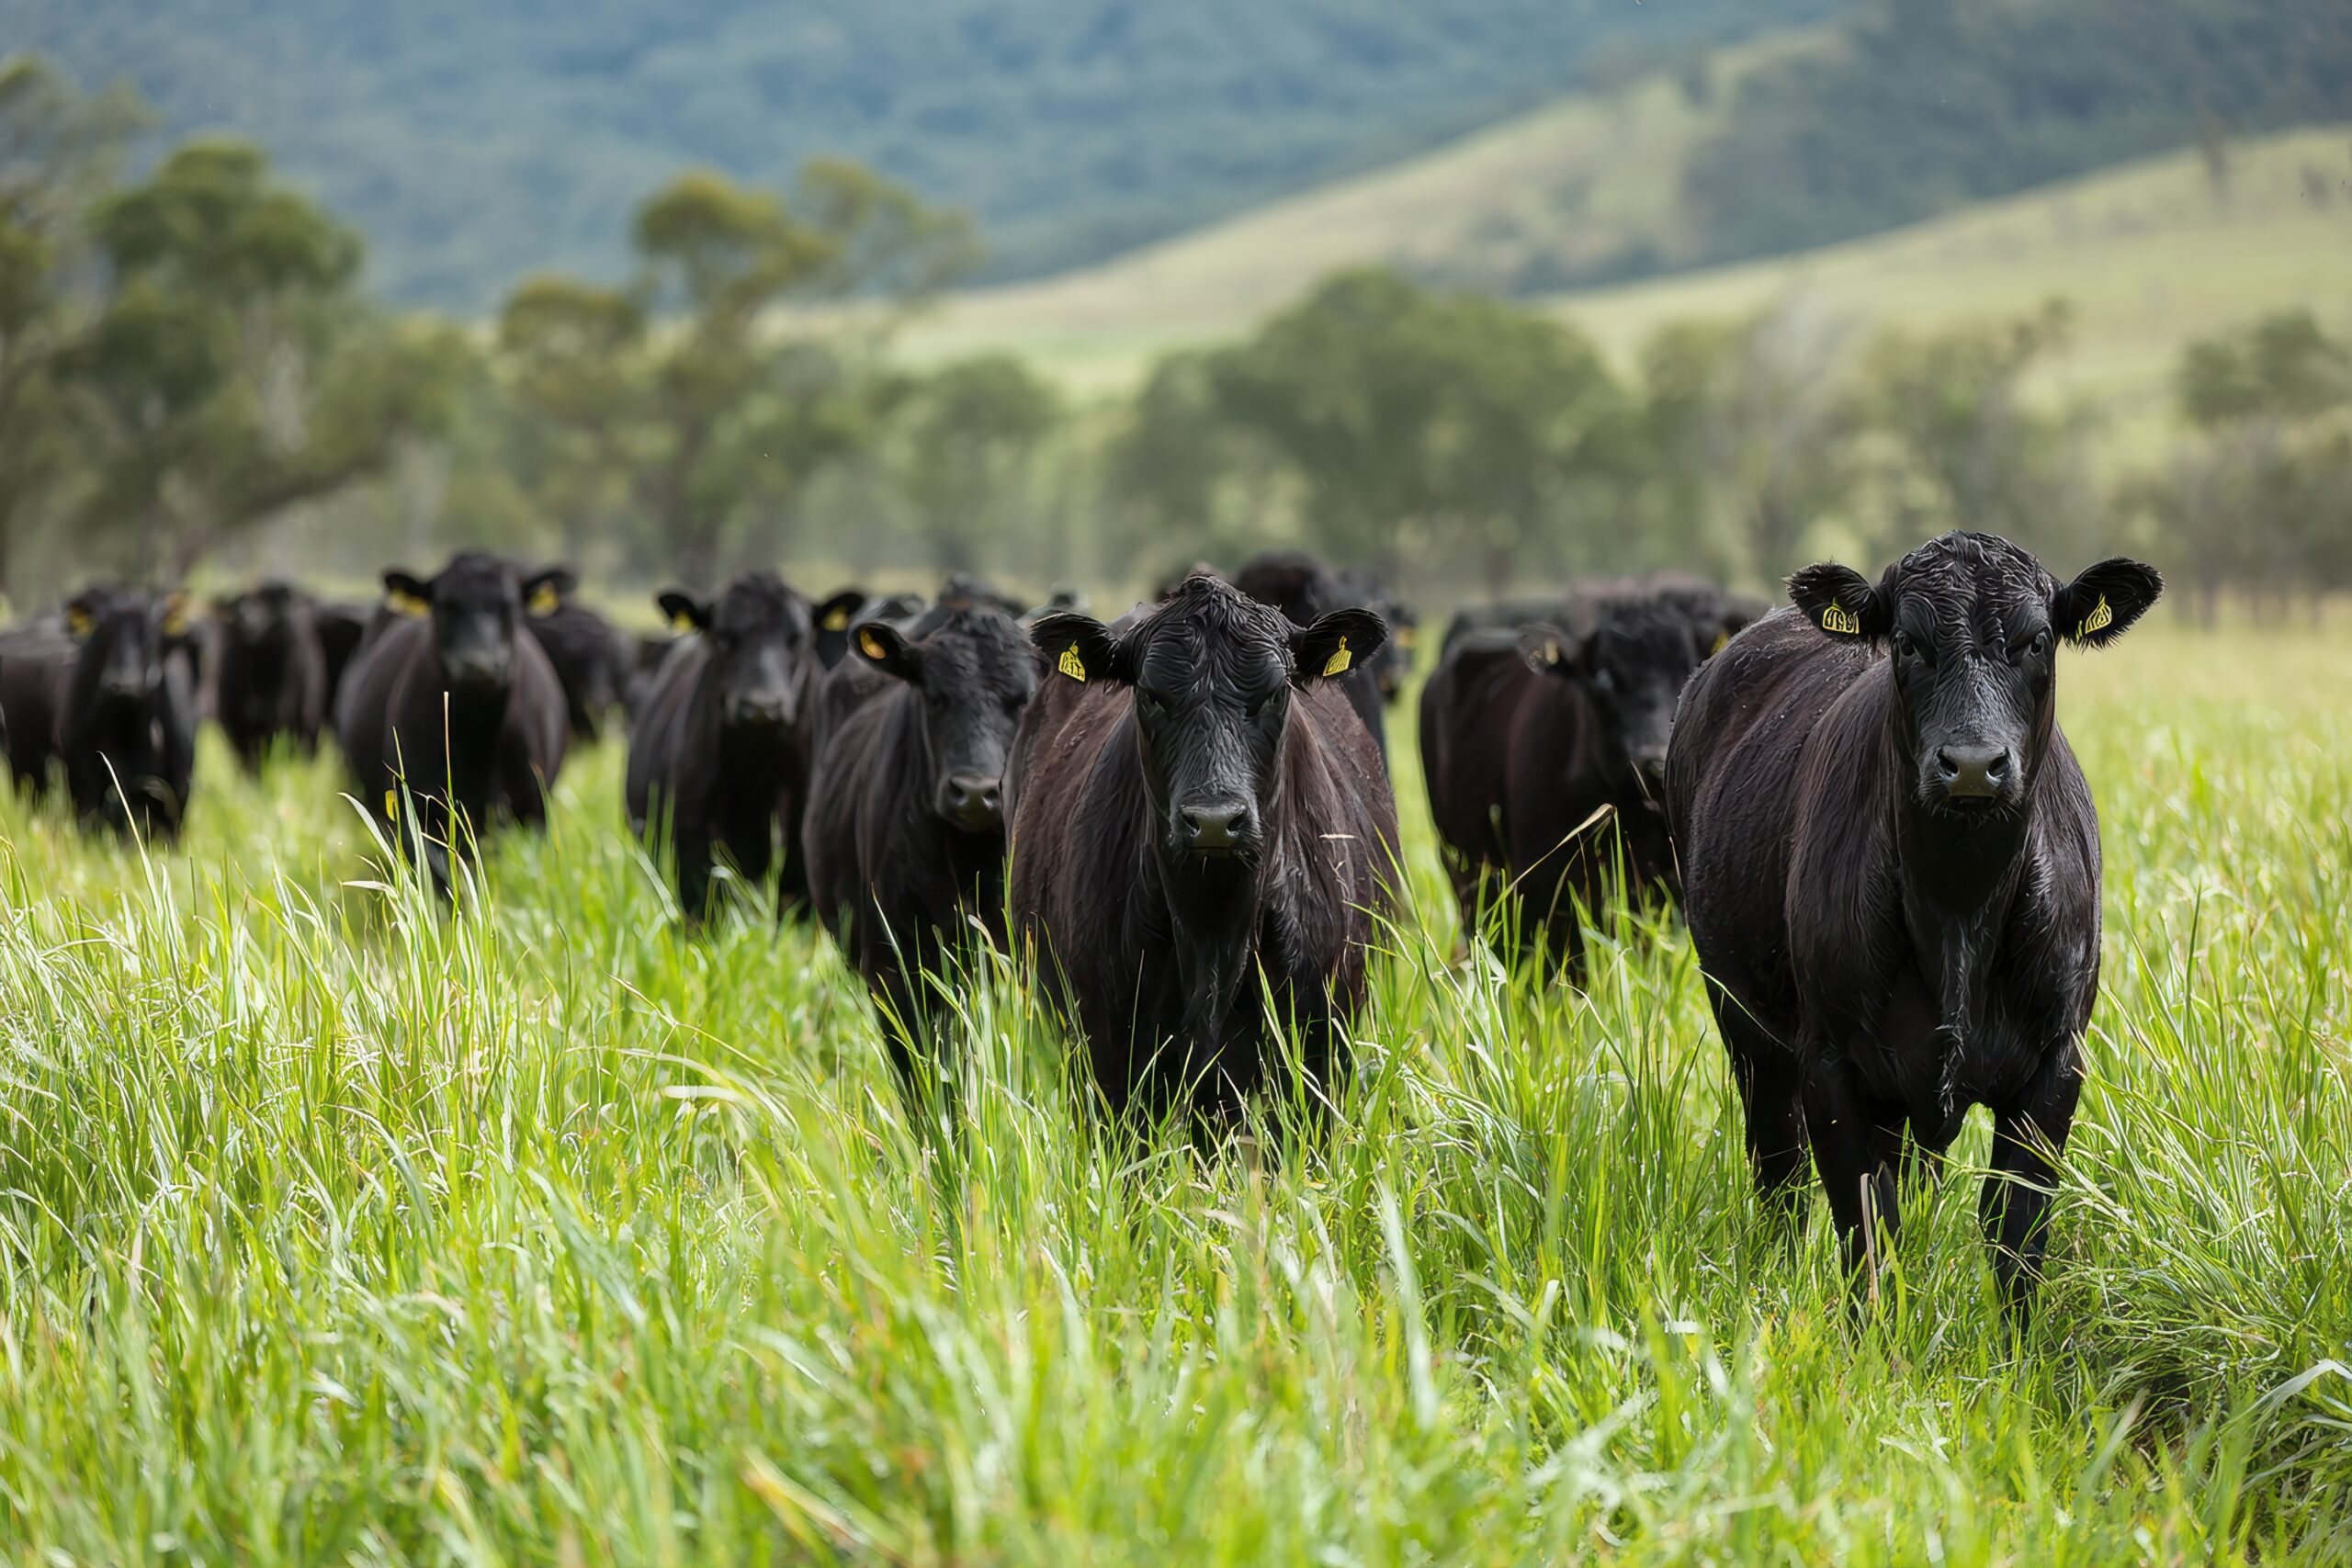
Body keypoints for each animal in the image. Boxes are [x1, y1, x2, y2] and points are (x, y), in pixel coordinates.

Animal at [210, 579, 330, 769]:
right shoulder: (234, 725)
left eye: (267, 604)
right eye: (237, 605)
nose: (246, 619)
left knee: (306, 747)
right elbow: (247, 762)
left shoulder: (273, 721)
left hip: (308, 717)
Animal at [1008, 571, 1398, 1123]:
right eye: (1151, 694)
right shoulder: (1105, 1051)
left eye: (1276, 692)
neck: (1212, 933)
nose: (1214, 821)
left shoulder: (1321, 1045)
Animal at [1665, 531, 2162, 1320]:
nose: (1972, 764)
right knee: (1779, 1169)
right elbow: (1867, 1224)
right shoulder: (1829, 1061)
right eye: (1906, 641)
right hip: (1744, 1023)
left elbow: (2015, 1230)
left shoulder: (2058, 1057)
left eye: (2037, 639)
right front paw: (1876, 1341)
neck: (1958, 907)